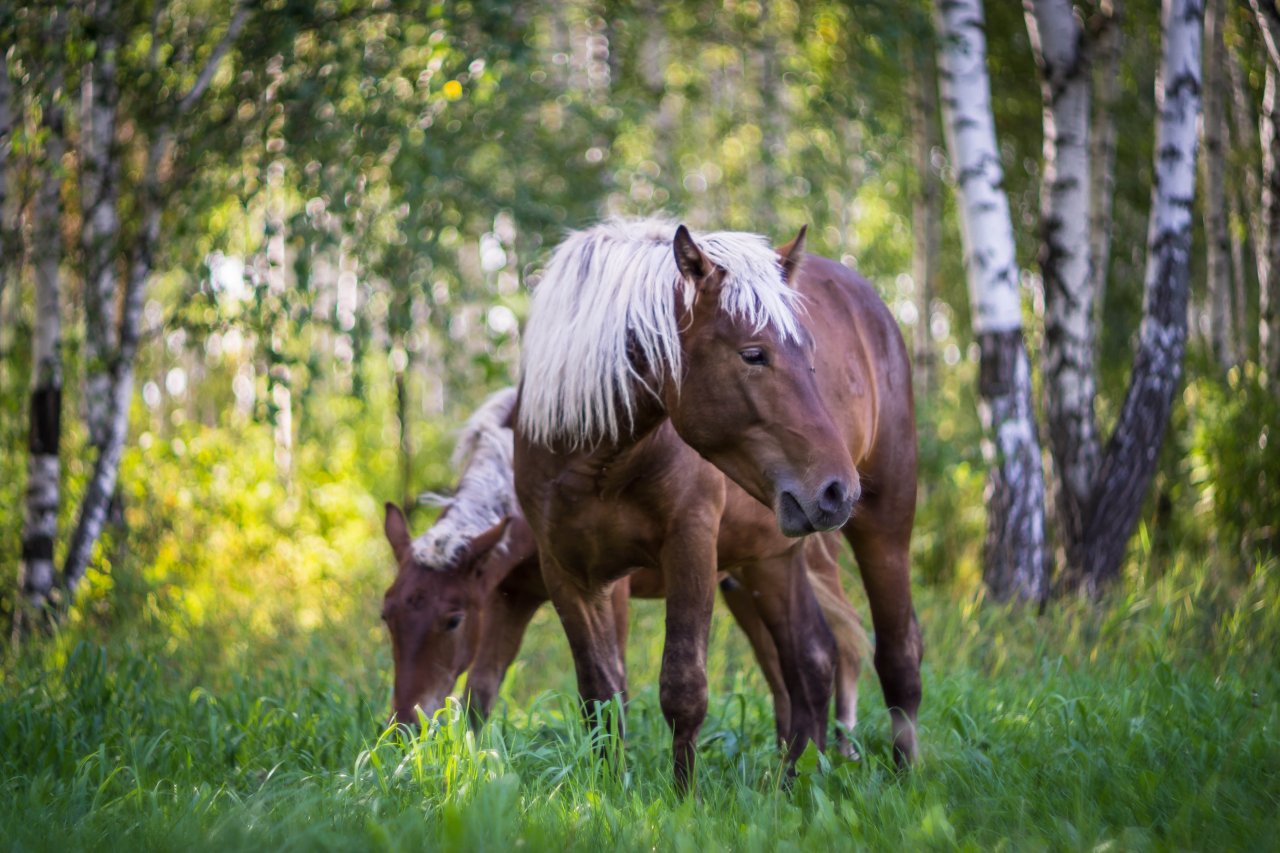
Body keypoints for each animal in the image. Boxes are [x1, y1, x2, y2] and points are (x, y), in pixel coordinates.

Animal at [509, 217, 921, 783]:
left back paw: (905, 780)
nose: (839, 490)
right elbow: (601, 698)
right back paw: (795, 781)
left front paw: (683, 796)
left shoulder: (691, 545)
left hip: (885, 524)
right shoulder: (569, 573)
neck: (597, 460)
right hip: (772, 557)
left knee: (898, 655)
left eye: (811, 357)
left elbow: (684, 689)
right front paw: (606, 789)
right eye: (753, 354)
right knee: (812, 659)